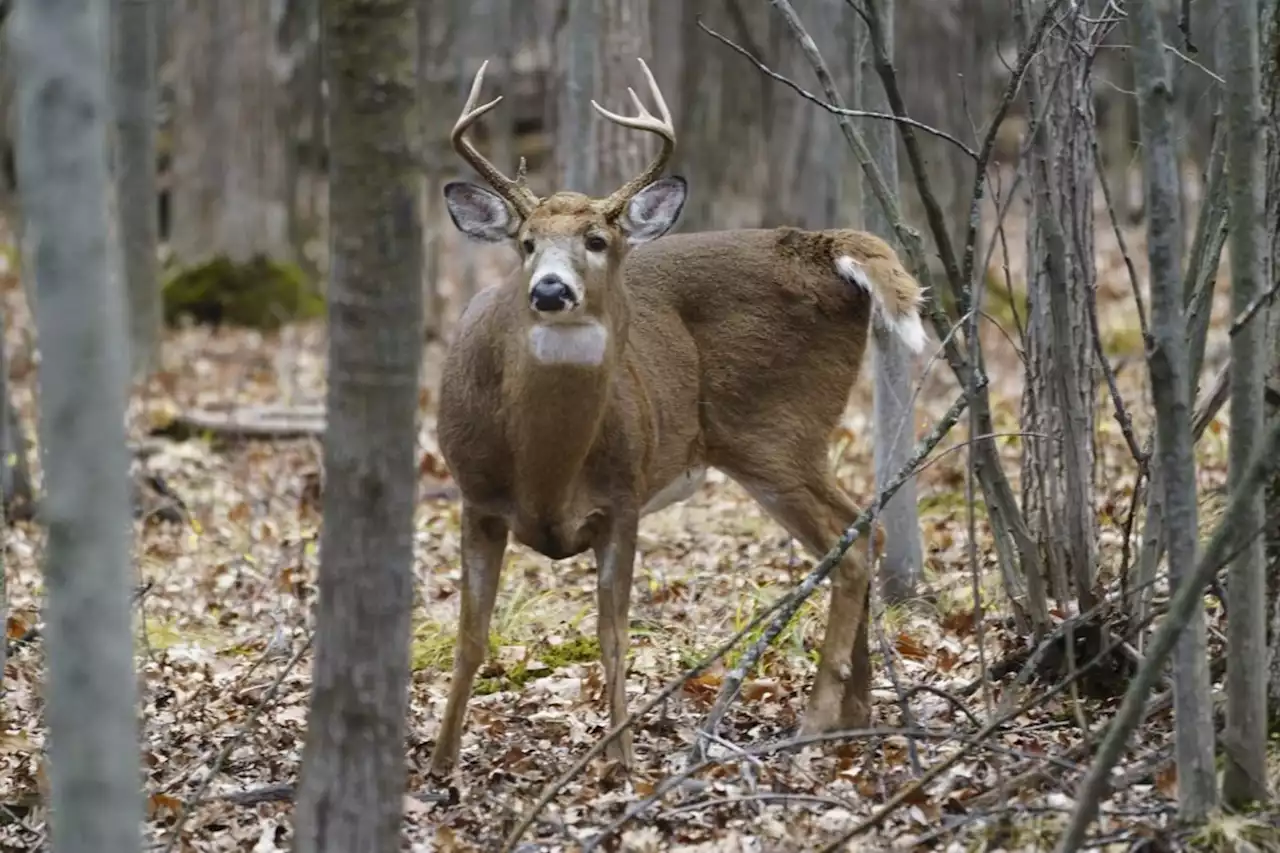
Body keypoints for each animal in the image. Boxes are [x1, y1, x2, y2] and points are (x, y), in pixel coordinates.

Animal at [427, 56, 921, 773]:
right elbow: (470, 636)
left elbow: (612, 634)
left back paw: (816, 720)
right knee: (863, 529)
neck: (543, 467)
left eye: (597, 239)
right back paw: (854, 715)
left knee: (851, 542)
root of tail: (823, 246)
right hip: (777, 444)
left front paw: (623, 761)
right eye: (525, 242)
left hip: (777, 431)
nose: (550, 290)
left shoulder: (622, 493)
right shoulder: (475, 496)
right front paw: (440, 764)